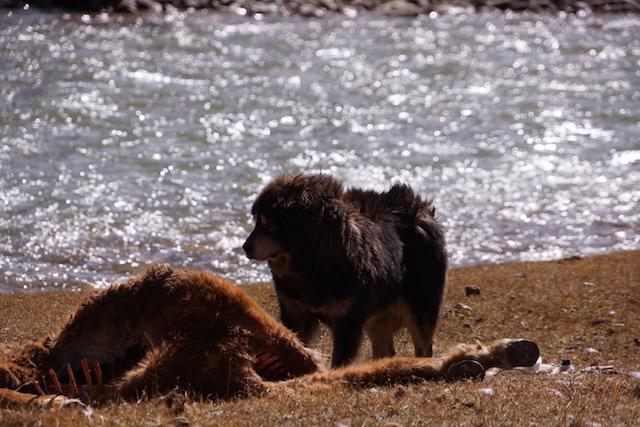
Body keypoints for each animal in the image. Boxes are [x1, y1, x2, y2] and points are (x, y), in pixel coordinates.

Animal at [242, 175, 448, 368]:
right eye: (257, 223)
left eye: (269, 224)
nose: (245, 247)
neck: (312, 265)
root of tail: (421, 208)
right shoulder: (295, 313)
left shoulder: (347, 322)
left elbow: (339, 361)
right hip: (377, 314)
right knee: (385, 350)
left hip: (419, 307)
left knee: (423, 347)